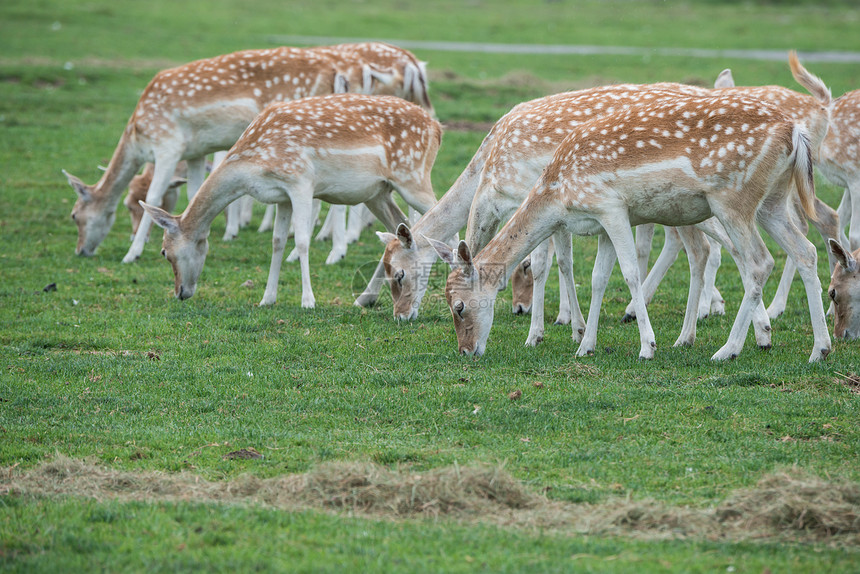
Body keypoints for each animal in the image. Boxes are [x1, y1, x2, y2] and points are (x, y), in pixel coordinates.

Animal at [140, 95, 440, 310]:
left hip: (413, 177)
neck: (251, 164)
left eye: (164, 252)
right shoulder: (280, 196)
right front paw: (267, 298)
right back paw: (365, 298)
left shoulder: (301, 182)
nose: (180, 292)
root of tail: (437, 129)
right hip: (378, 193)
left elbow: (303, 241)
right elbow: (277, 241)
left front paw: (308, 301)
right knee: (399, 230)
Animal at [430, 91, 832, 364]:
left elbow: (629, 272)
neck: (556, 193)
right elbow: (598, 278)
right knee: (805, 251)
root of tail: (795, 133)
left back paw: (728, 349)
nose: (466, 351)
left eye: (459, 306)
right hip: (771, 202)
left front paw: (647, 346)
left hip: (731, 200)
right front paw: (585, 345)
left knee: (759, 262)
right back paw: (819, 348)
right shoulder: (601, 224)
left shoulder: (612, 208)